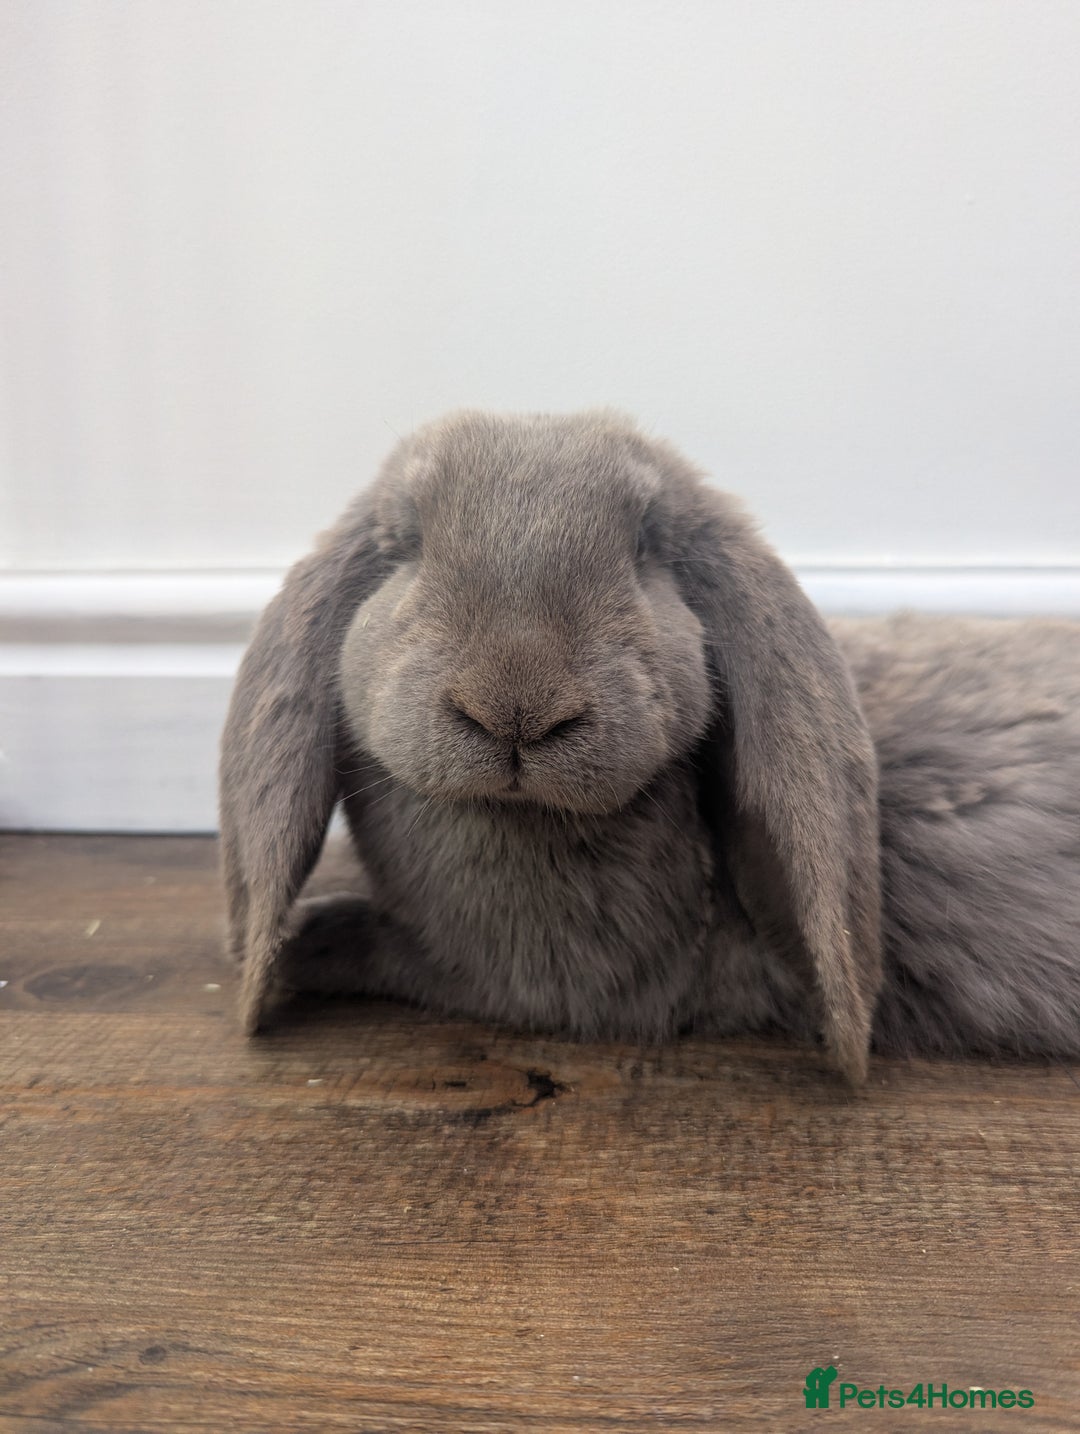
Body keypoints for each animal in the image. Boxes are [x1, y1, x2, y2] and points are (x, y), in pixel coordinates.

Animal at [219, 409, 1080, 1082]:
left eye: (647, 547)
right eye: (404, 545)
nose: (515, 706)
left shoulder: (531, 983)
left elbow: (379, 947)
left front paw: (303, 942)